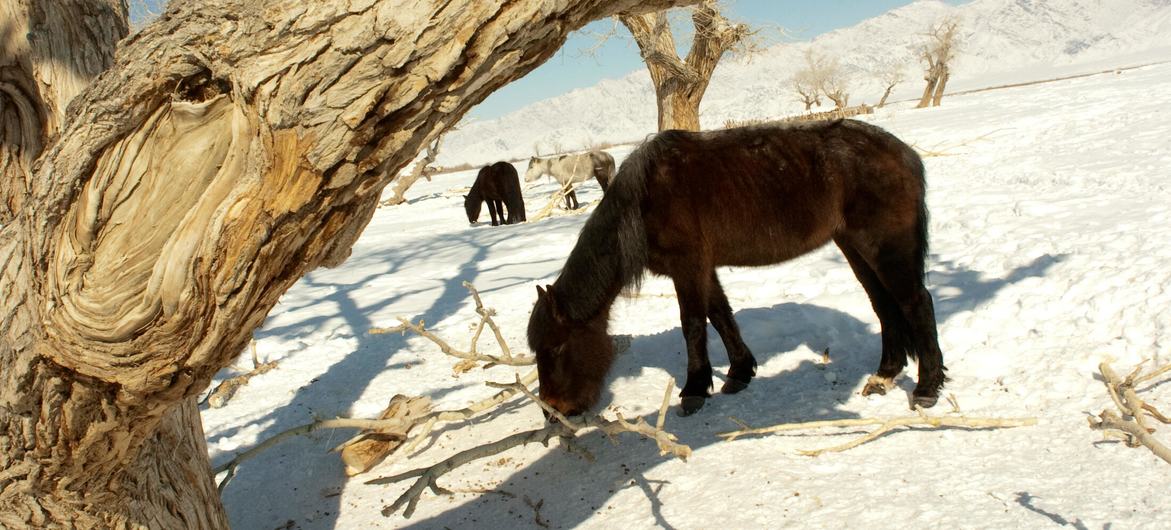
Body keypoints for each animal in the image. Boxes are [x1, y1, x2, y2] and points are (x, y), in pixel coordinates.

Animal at [526, 119, 946, 416]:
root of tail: (901, 151)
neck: (644, 201)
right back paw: (885, 376)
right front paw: (740, 373)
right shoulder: (702, 268)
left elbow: (693, 324)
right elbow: (721, 315)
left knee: (915, 303)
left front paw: (695, 389)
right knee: (884, 306)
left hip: (885, 247)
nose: (554, 411)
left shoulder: (688, 266)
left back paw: (927, 388)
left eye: (557, 347)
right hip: (854, 247)